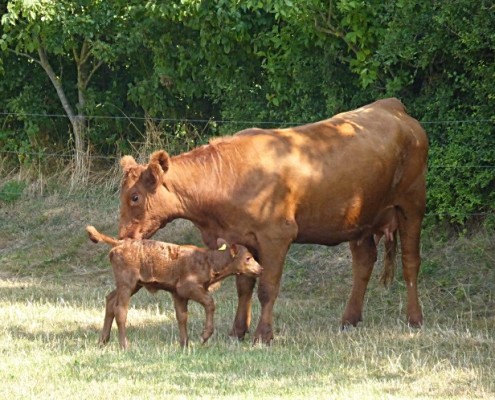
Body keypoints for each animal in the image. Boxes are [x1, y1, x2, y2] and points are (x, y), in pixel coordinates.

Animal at [86, 227, 262, 348]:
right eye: (248, 258)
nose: (260, 269)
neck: (209, 262)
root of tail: (119, 243)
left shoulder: (178, 294)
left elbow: (182, 316)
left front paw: (184, 344)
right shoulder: (188, 287)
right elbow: (210, 303)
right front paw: (204, 336)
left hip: (134, 285)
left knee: (110, 300)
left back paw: (102, 341)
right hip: (127, 283)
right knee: (120, 310)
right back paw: (125, 345)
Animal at [118, 97, 428, 344]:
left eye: (134, 197)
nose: (124, 236)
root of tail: (391, 106)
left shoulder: (276, 236)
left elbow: (267, 288)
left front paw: (262, 335)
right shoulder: (241, 237)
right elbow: (244, 285)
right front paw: (237, 331)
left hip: (412, 204)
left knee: (410, 262)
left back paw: (415, 319)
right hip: (360, 218)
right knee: (363, 263)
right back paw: (349, 319)